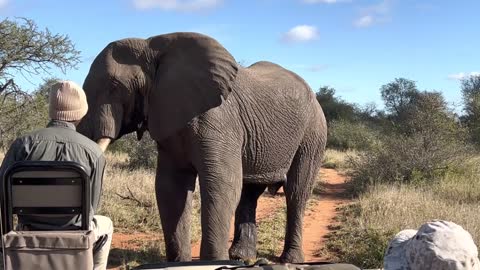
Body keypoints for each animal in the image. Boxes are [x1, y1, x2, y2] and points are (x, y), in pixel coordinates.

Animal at [78, 32, 326, 264]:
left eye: (114, 86)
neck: (152, 47)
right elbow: (170, 188)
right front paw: (179, 264)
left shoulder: (218, 118)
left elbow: (222, 183)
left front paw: (213, 263)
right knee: (249, 193)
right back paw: (240, 257)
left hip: (313, 133)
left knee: (296, 191)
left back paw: (290, 260)